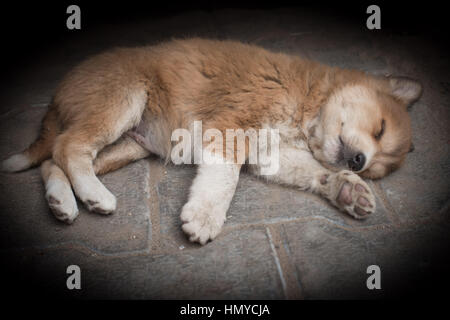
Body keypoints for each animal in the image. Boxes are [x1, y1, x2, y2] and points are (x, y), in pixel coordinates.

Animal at [0, 39, 422, 245]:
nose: (357, 163)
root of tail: (58, 94)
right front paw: (204, 216)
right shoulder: (232, 128)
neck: (307, 102)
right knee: (67, 147)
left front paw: (347, 189)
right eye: (381, 128)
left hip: (129, 144)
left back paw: (63, 201)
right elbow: (224, 179)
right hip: (122, 100)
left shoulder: (269, 153)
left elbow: (313, 172)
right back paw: (93, 194)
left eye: (378, 167)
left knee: (55, 159)